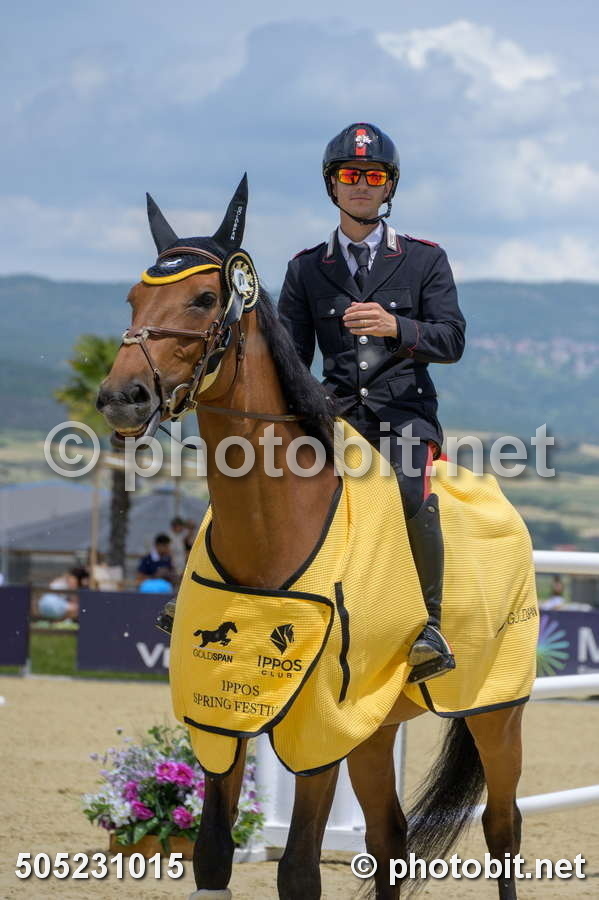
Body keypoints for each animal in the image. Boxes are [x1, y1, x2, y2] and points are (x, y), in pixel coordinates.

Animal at [97, 176, 530, 900]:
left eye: (204, 298)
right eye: (132, 297)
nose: (120, 398)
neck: (270, 524)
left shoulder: (319, 722)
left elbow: (299, 870)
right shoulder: (227, 716)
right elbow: (212, 854)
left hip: (496, 708)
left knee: (502, 829)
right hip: (375, 726)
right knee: (389, 837)